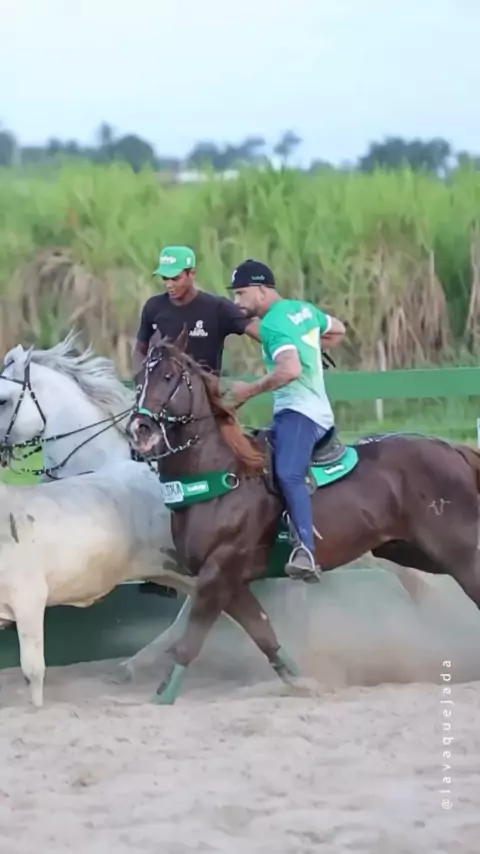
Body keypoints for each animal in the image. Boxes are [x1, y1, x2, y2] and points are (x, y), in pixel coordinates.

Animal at [127, 327, 480, 705]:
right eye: (138, 379)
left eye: (168, 376)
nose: (140, 429)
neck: (225, 475)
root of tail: (452, 449)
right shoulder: (232, 581)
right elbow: (264, 634)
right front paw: (303, 682)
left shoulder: (218, 572)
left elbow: (192, 639)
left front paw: (163, 695)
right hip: (412, 550)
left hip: (459, 552)